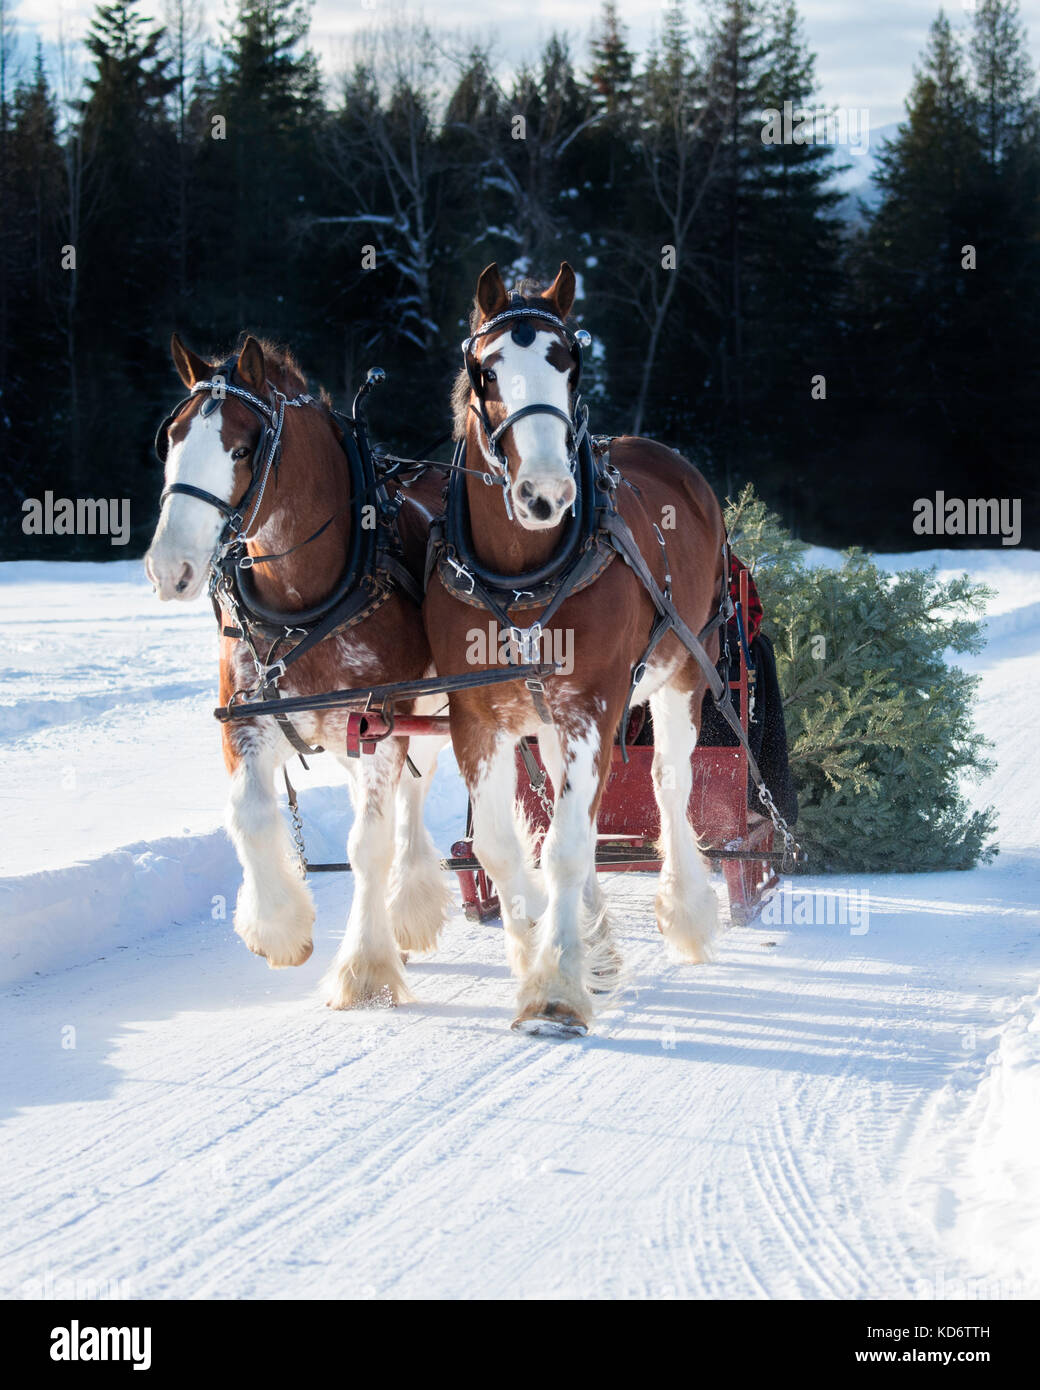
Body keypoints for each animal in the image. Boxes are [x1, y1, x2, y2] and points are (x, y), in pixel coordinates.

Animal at [145, 336, 450, 1011]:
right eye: (171, 439)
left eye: (240, 448)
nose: (169, 568)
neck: (303, 604)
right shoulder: (246, 722)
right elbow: (250, 815)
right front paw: (279, 927)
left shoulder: (381, 727)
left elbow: (368, 844)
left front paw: (365, 967)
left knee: (422, 795)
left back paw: (414, 906)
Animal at [422, 265, 722, 1039]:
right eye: (488, 369)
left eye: (569, 365)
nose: (547, 493)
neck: (524, 574)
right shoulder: (476, 716)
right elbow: (506, 847)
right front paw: (544, 952)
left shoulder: (595, 701)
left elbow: (563, 845)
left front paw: (555, 986)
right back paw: (598, 944)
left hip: (684, 670)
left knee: (668, 786)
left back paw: (685, 911)